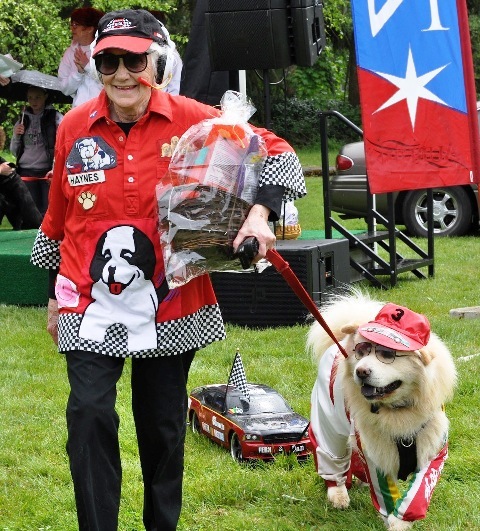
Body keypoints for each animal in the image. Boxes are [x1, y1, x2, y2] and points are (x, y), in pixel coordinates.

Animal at [308, 290, 458, 531]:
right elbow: (385, 495)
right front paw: (394, 522)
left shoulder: (433, 451)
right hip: (329, 427)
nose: (361, 371)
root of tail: (338, 344)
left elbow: (417, 495)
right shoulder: (375, 454)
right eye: (361, 352)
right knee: (331, 459)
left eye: (387, 354)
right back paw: (338, 493)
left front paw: (402, 521)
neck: (398, 410)